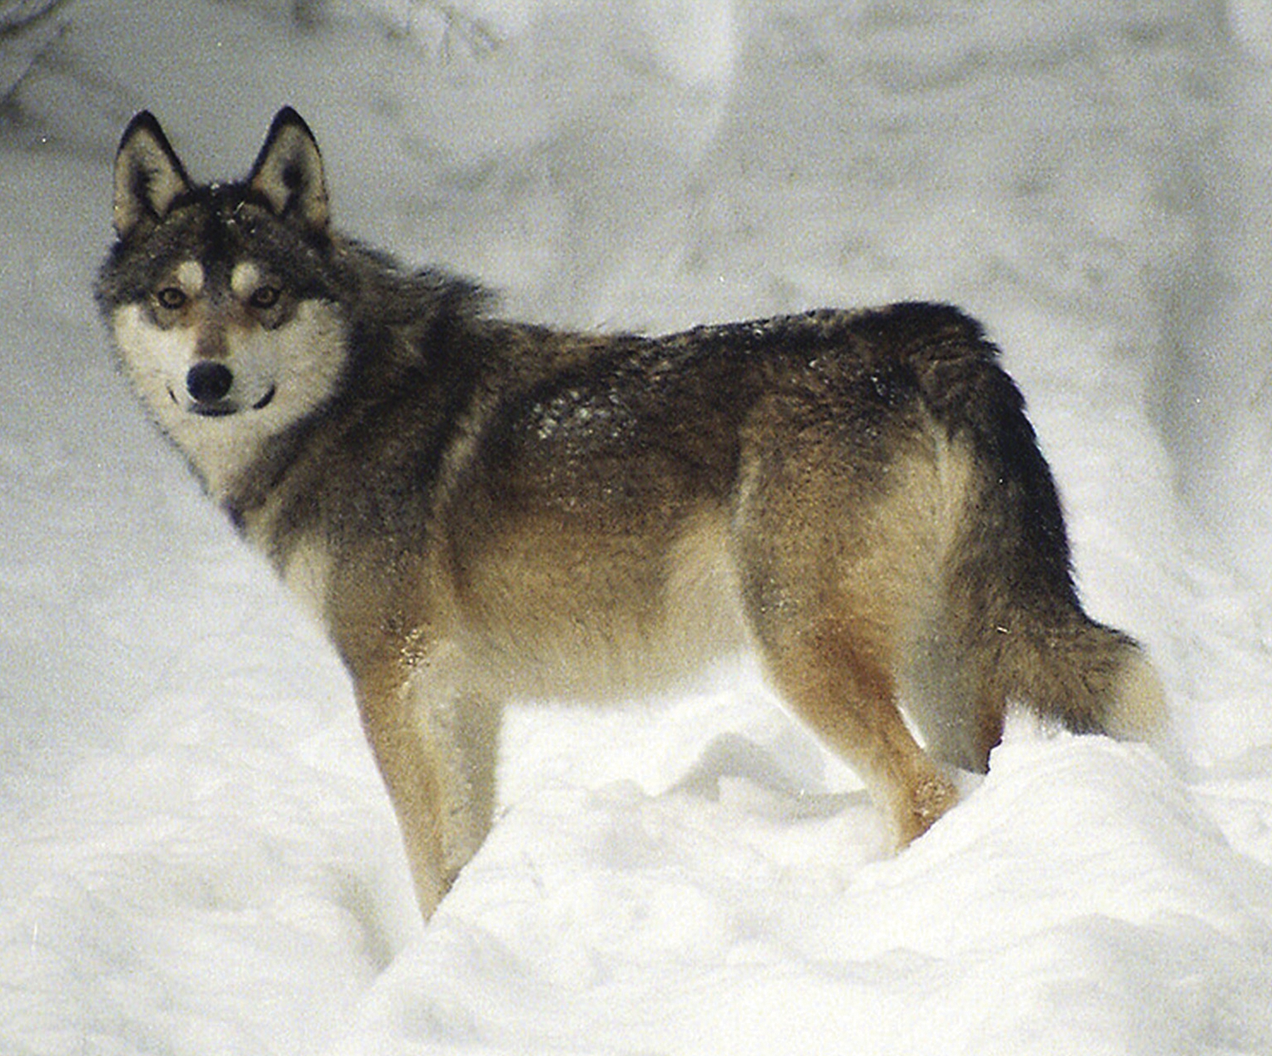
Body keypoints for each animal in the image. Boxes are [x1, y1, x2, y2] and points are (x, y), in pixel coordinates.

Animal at [99, 107, 1165, 916]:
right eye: (171, 298)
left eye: (265, 297)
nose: (208, 380)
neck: (353, 400)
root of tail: (931, 333)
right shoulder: (464, 698)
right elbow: (463, 852)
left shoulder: (392, 687)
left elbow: (428, 867)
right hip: (945, 662)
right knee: (970, 780)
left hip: (806, 654)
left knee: (927, 795)